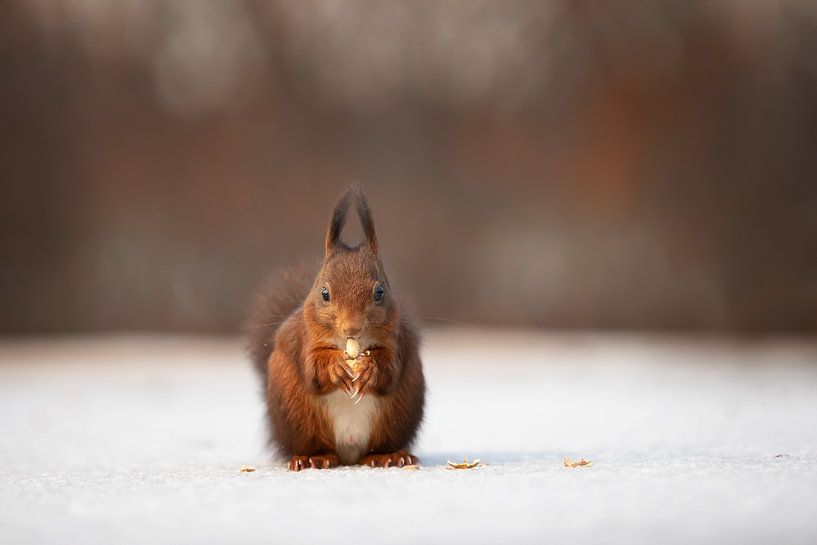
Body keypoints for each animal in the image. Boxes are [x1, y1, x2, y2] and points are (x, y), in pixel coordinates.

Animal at [247, 187, 426, 471]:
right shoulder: (305, 338)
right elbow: (312, 367)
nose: (352, 328)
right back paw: (313, 457)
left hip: (399, 411)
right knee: (317, 446)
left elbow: (390, 368)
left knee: (378, 446)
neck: (350, 345)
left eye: (379, 292)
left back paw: (388, 455)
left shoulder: (397, 338)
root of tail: (348, 452)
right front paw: (335, 366)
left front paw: (370, 367)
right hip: (298, 414)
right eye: (324, 293)